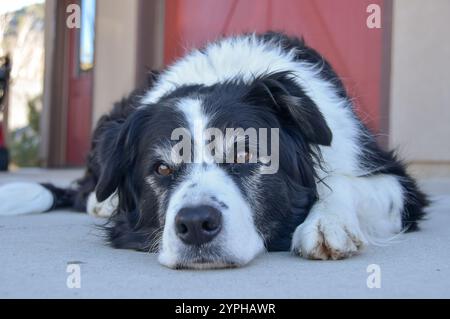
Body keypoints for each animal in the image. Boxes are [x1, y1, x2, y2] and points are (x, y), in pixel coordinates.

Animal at [0, 32, 428, 268]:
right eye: (161, 169)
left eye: (245, 156)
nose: (194, 225)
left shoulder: (397, 179)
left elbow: (341, 181)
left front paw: (327, 223)